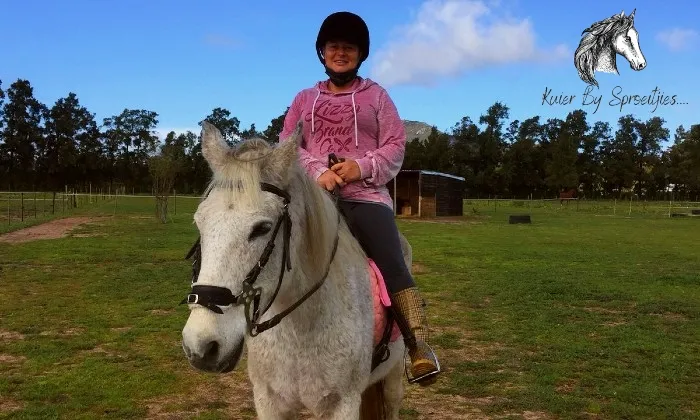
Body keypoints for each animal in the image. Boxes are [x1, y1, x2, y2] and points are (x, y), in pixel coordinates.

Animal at [180, 121, 408, 419]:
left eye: (262, 228)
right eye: (199, 223)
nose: (202, 345)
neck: (301, 326)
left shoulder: (343, 403)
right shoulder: (268, 400)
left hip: (392, 378)